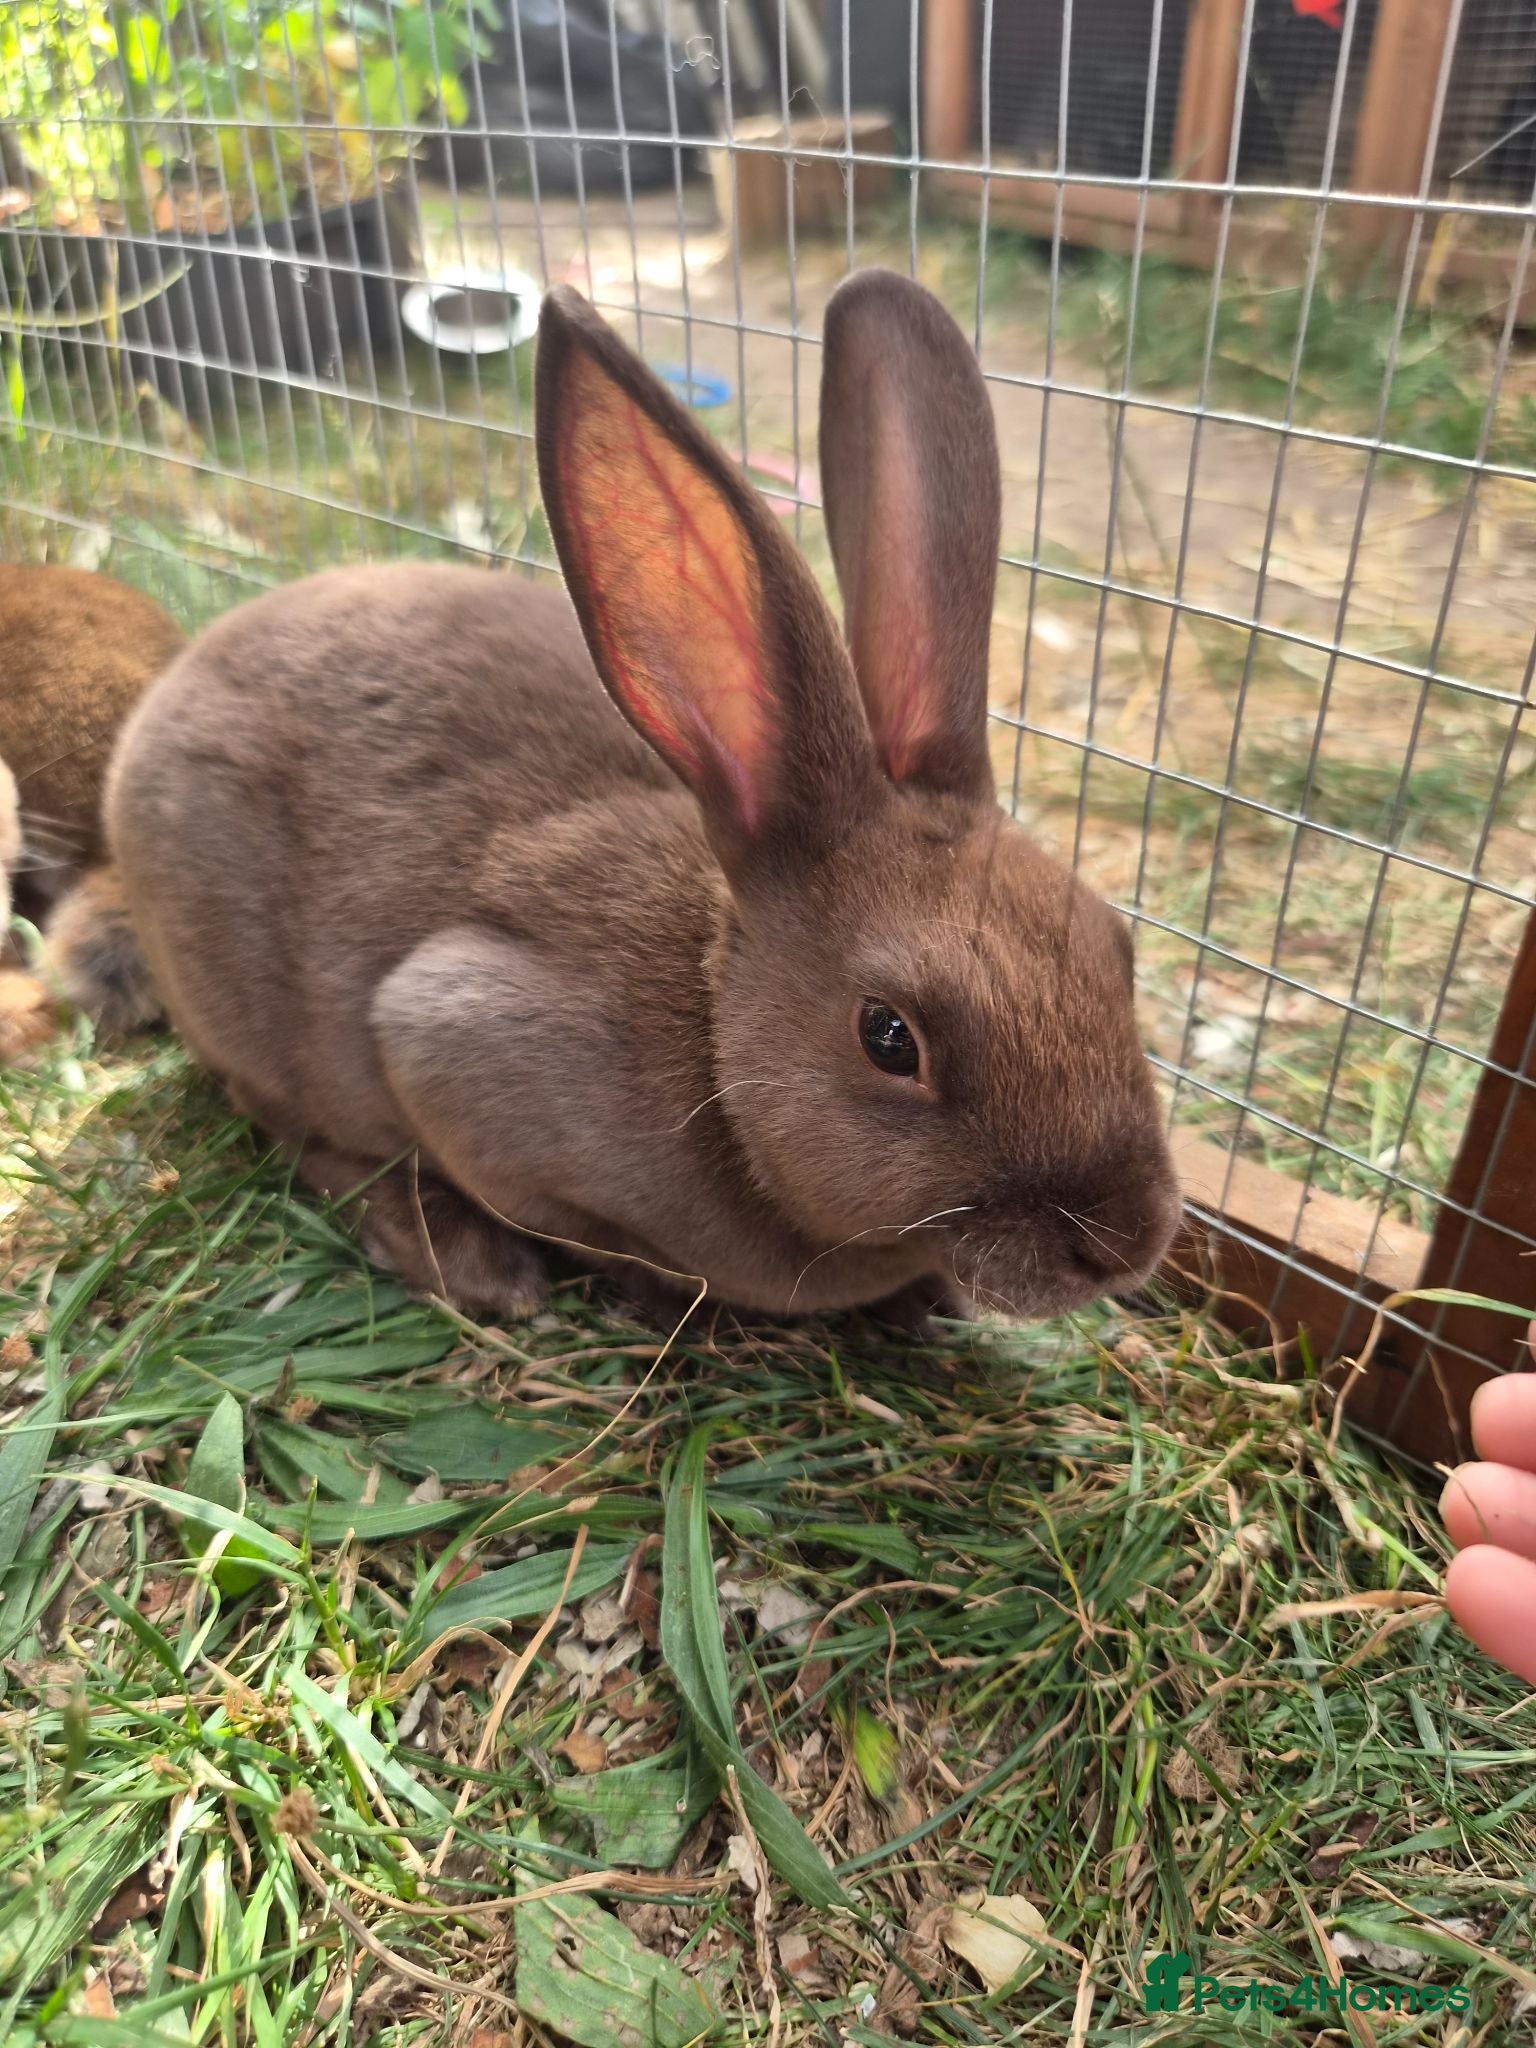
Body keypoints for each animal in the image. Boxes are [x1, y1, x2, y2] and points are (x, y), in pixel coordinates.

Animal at [60, 270, 1180, 1326]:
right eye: (889, 1037)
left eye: (1118, 952)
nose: (1126, 1241)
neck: (715, 1032)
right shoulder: (448, 1038)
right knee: (301, 1129)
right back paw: (461, 1257)